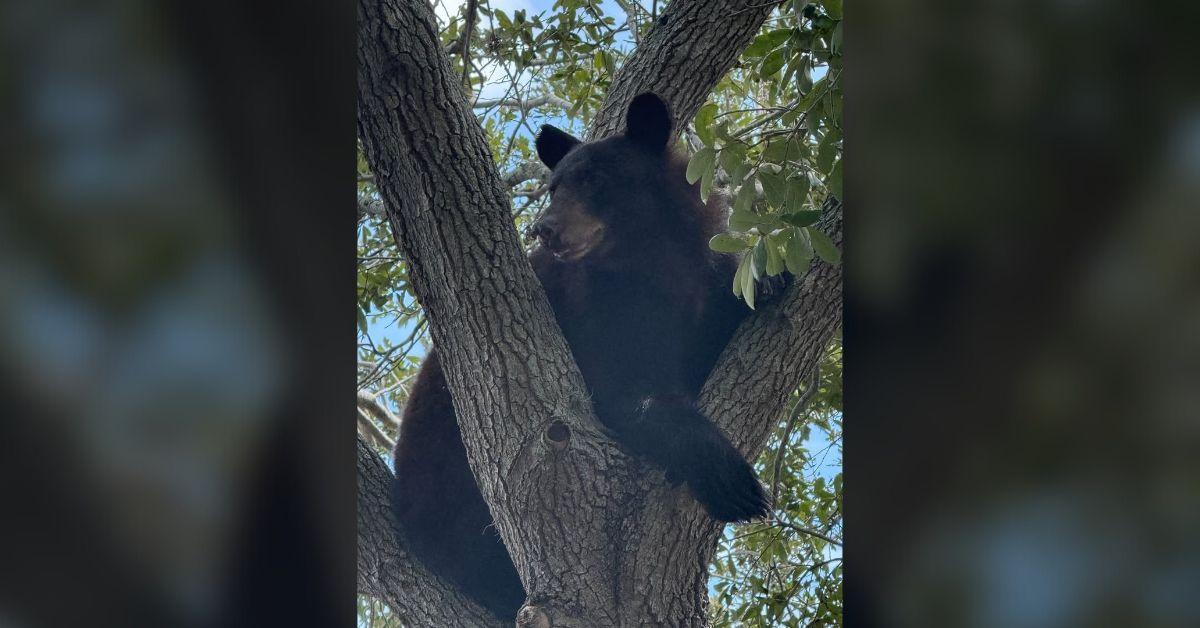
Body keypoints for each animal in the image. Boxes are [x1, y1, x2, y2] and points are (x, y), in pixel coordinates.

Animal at [390, 92, 771, 619]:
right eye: (553, 189)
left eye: (594, 179)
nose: (543, 228)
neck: (649, 263)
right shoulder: (592, 313)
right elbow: (623, 394)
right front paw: (732, 480)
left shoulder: (695, 286)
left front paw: (769, 281)